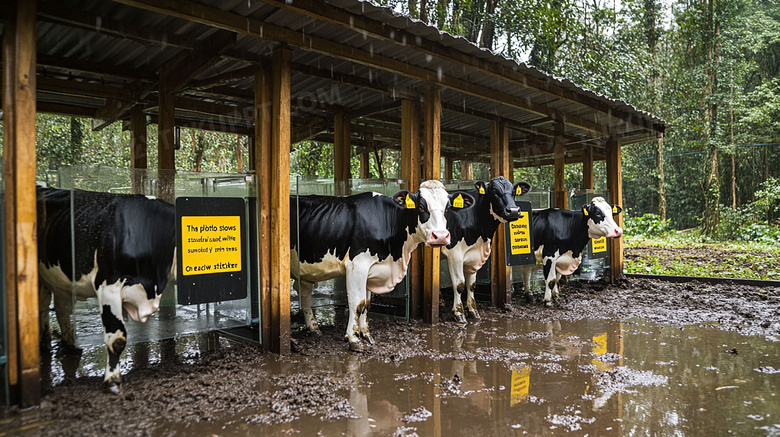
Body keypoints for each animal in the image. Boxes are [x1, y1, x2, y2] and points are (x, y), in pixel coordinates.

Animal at [37, 186, 177, 394]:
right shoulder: (108, 286)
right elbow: (117, 339)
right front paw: (112, 381)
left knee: (60, 307)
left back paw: (69, 344)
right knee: (41, 306)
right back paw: (46, 343)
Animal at [292, 179, 476, 350]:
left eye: (447, 208)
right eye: (421, 207)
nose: (440, 236)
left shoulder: (371, 270)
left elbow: (366, 304)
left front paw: (366, 334)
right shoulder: (357, 266)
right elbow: (356, 303)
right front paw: (353, 339)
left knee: (305, 295)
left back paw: (314, 329)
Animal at [442, 176, 532, 324]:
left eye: (514, 192)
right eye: (495, 193)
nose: (513, 211)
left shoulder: (474, 255)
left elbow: (471, 284)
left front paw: (473, 312)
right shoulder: (455, 254)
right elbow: (459, 285)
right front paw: (459, 314)